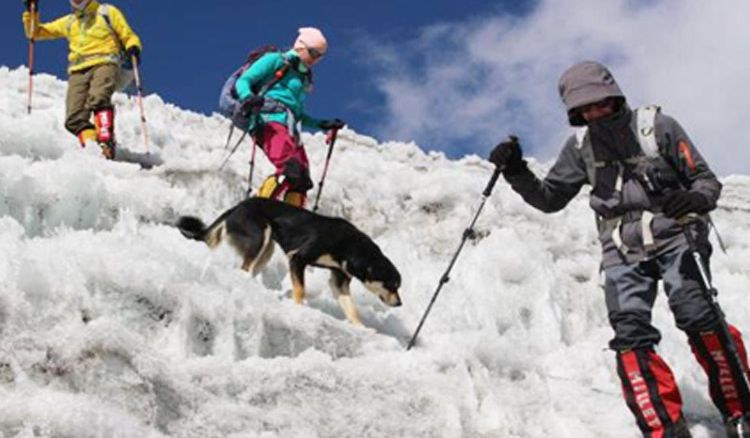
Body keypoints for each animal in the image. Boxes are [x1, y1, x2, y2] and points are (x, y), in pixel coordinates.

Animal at [177, 198, 402, 326]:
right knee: (245, 267)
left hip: (266, 249)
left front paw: (361, 328)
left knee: (249, 269)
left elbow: (351, 308)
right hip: (260, 237)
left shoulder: (339, 280)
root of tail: (237, 206)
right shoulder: (298, 258)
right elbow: (300, 289)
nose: (399, 303)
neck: (350, 246)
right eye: (392, 285)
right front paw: (300, 309)